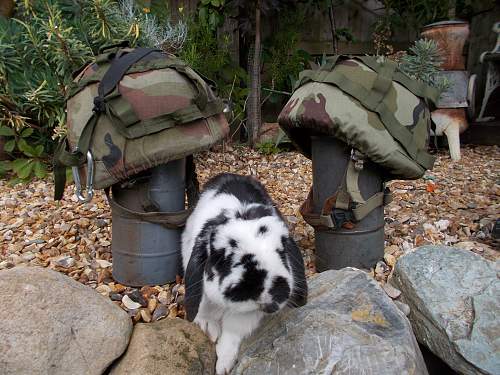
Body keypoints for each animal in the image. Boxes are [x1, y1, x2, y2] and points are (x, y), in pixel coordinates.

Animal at [182, 174, 306, 375]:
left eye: (282, 250)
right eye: (222, 256)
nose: (268, 295)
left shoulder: (246, 316)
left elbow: (233, 332)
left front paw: (223, 365)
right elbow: (204, 308)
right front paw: (209, 329)